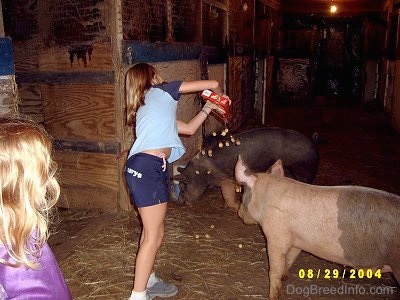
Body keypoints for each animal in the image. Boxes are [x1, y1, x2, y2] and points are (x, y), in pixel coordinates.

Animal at [175, 126, 318, 211]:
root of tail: (312, 142)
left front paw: (235, 207)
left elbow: (228, 194)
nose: (180, 202)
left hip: (304, 169)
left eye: (183, 186)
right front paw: (225, 206)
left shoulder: (224, 179)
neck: (201, 173)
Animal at [234, 156, 400, 300]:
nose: (238, 213)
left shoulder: (277, 236)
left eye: (243, 192)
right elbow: (290, 258)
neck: (266, 200)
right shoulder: (297, 240)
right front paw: (285, 276)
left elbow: (275, 268)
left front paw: (274, 296)